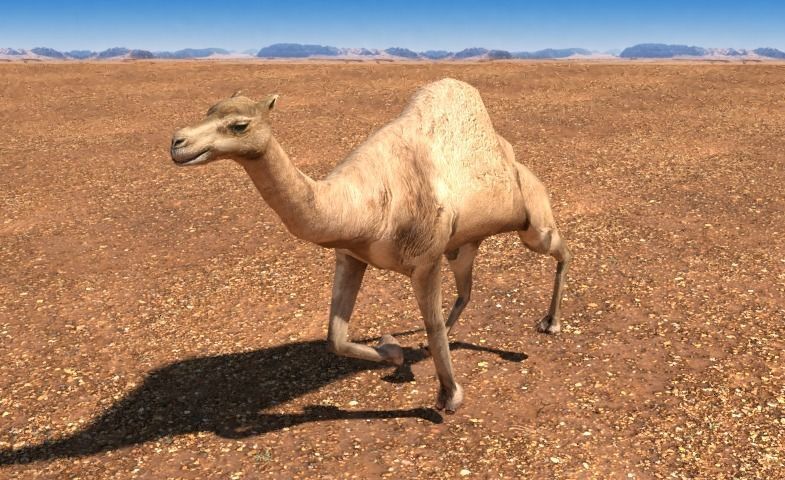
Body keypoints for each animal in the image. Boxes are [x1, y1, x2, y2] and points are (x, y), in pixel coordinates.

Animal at [169, 79, 571, 413]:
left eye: (240, 124)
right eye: (209, 108)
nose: (178, 141)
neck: (362, 204)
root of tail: (517, 162)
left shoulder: (425, 261)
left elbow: (431, 323)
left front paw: (449, 396)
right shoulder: (351, 255)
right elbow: (336, 337)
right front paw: (392, 352)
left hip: (532, 222)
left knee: (560, 249)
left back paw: (548, 324)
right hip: (463, 245)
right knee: (466, 290)